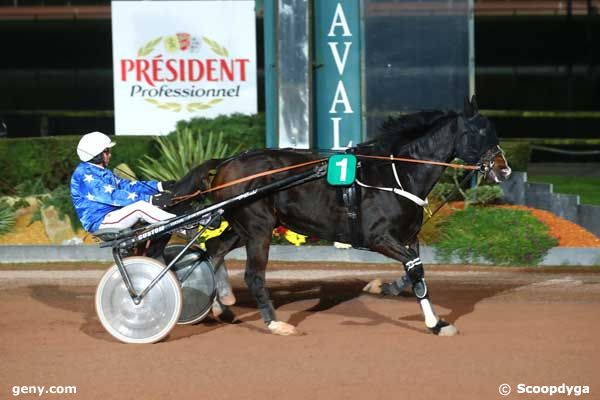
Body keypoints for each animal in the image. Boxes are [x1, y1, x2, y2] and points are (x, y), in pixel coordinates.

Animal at [170, 98, 510, 336]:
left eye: (494, 130)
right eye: (478, 132)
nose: (503, 169)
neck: (397, 174)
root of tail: (227, 161)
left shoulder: (408, 238)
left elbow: (415, 271)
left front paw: (388, 292)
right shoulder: (378, 237)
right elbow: (416, 271)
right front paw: (433, 322)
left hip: (245, 227)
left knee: (213, 250)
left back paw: (223, 305)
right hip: (258, 228)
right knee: (253, 275)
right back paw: (275, 324)